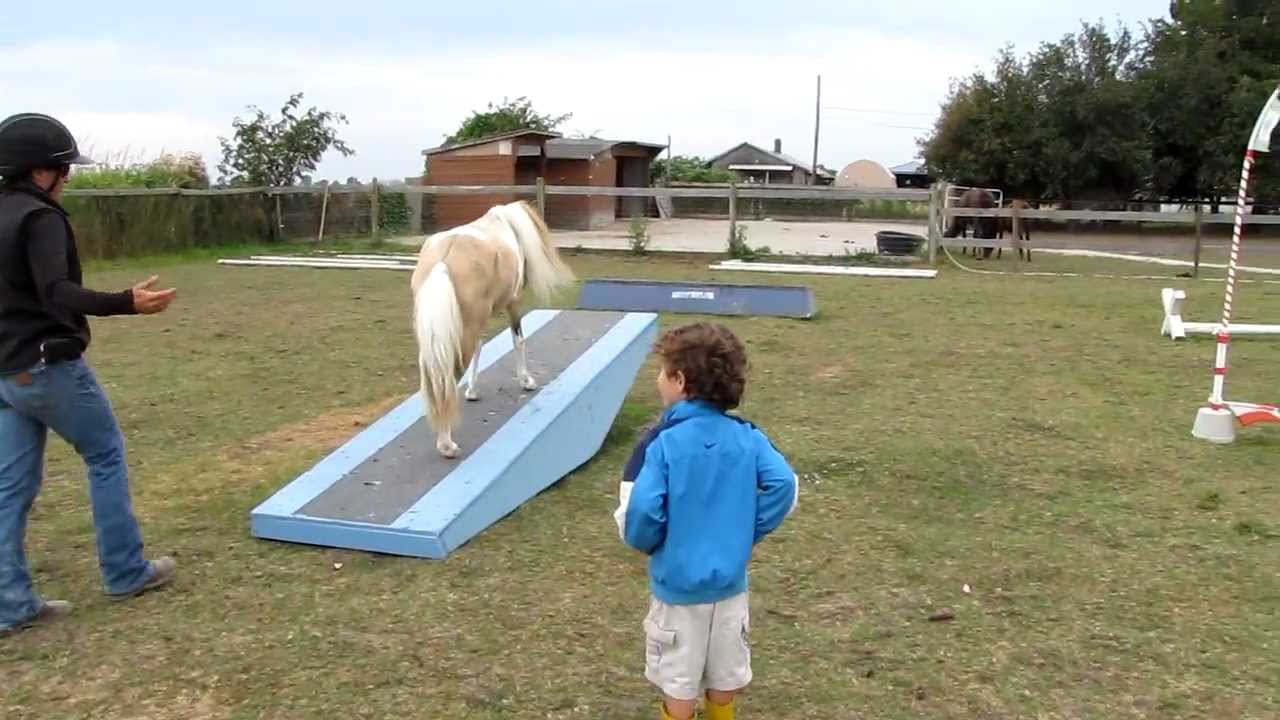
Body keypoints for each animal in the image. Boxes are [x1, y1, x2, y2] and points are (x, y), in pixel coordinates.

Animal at [410, 200, 576, 459]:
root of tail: (443, 259)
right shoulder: (513, 302)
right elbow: (518, 340)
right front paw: (526, 380)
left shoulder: (478, 321)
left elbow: (480, 348)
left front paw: (472, 391)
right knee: (447, 381)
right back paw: (446, 445)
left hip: (438, 338)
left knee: (432, 378)